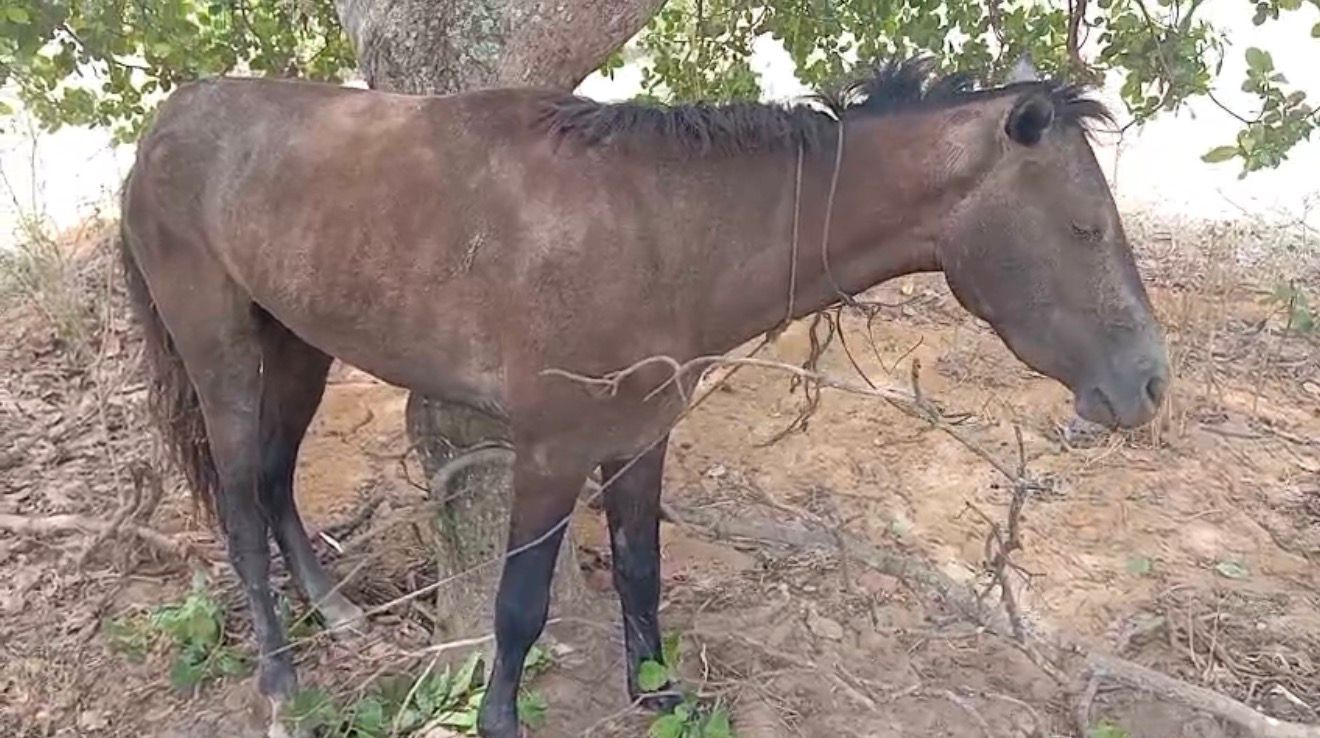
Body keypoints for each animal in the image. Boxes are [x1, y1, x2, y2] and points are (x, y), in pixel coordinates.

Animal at [118, 57, 1168, 737]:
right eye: (1084, 226)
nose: (1150, 381)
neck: (660, 234)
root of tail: (166, 121)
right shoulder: (551, 450)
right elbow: (518, 606)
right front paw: (500, 720)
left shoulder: (640, 436)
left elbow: (639, 571)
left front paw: (659, 694)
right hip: (222, 354)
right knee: (240, 505)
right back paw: (281, 683)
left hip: (297, 347)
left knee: (275, 482)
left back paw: (334, 613)